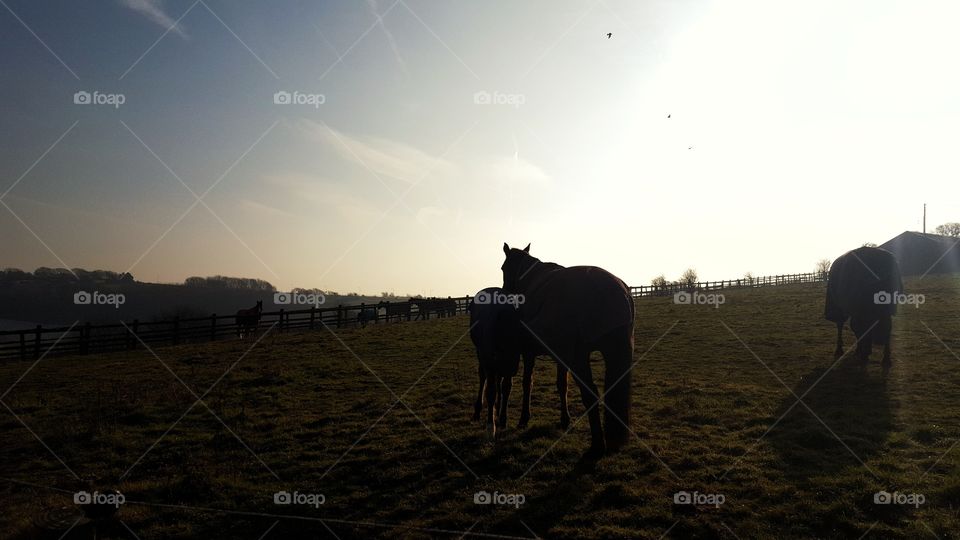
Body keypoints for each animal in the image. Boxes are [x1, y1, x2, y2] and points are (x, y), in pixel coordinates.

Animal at [468, 287, 569, 439]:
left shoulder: (511, 362)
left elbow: (507, 387)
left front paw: (503, 418)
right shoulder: (495, 361)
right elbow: (492, 390)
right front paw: (492, 426)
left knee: (499, 382)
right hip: (484, 356)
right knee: (483, 378)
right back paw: (479, 412)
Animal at [501, 243, 635, 458]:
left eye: (504, 268)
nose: (505, 293)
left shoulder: (530, 352)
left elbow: (527, 383)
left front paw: (524, 418)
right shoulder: (561, 356)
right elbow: (561, 385)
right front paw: (565, 419)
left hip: (579, 358)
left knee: (590, 394)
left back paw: (598, 445)